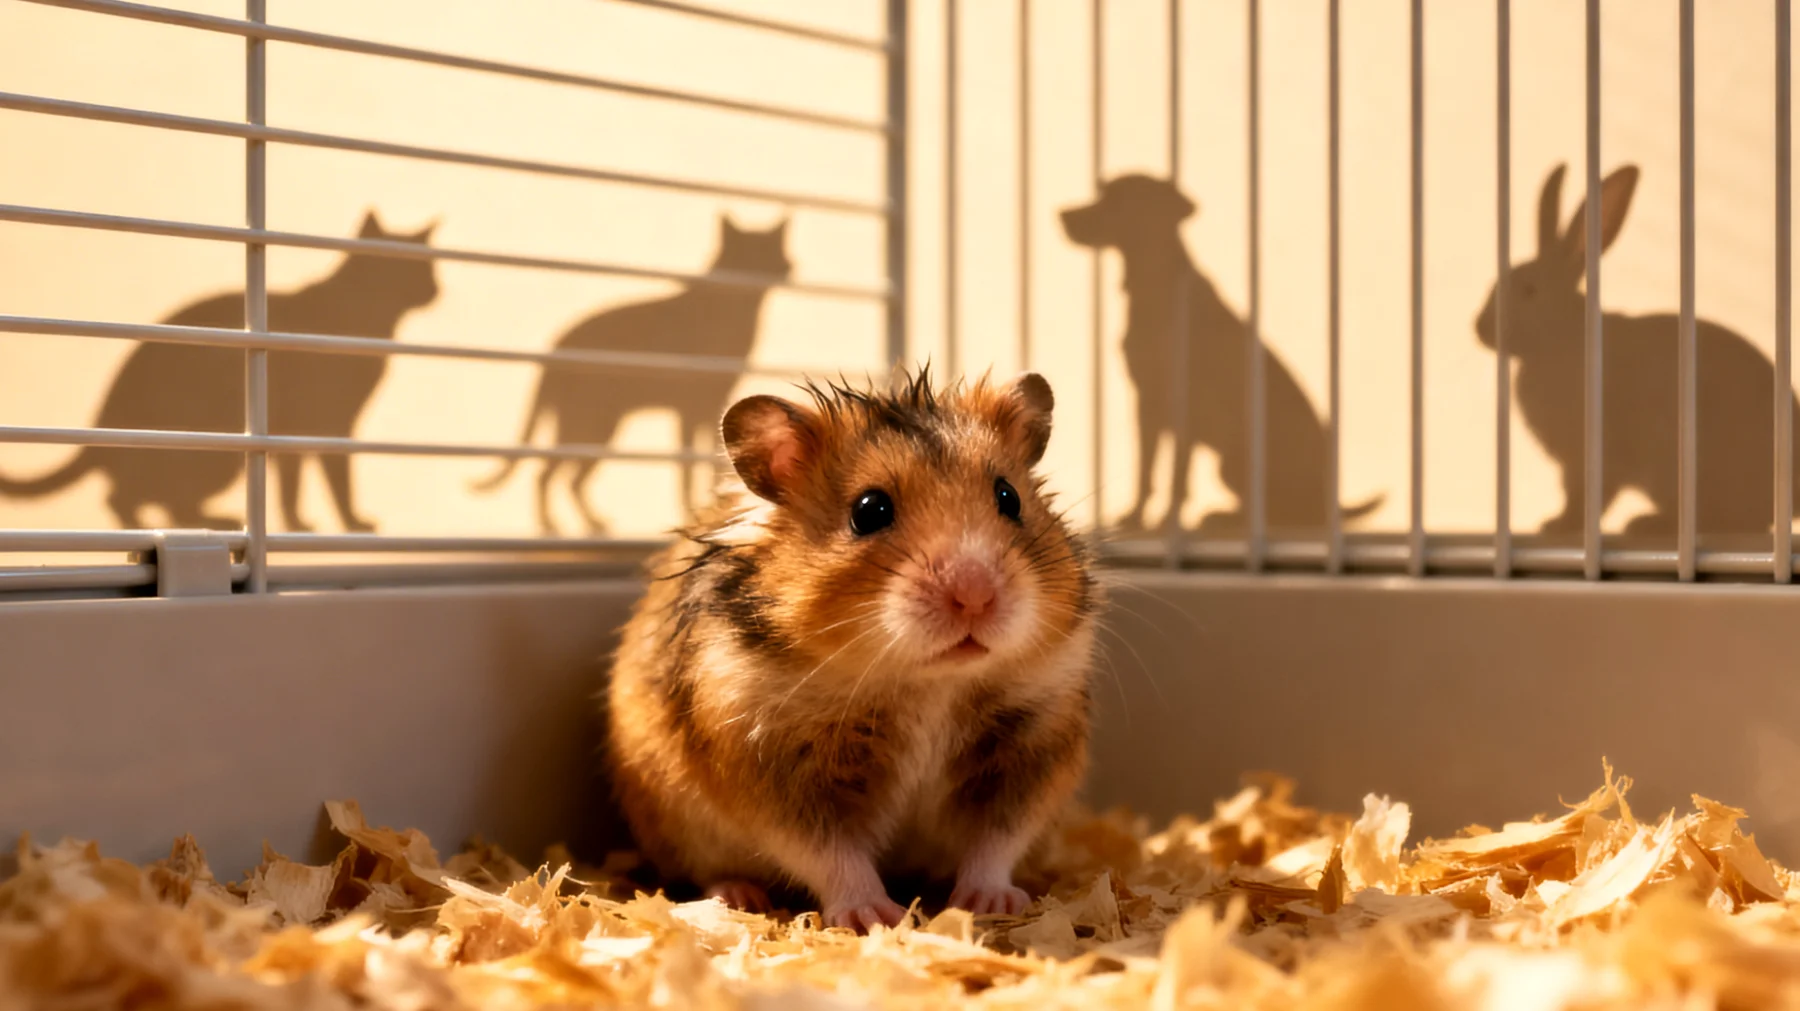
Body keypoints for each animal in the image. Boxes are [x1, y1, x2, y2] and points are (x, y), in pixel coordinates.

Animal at [603, 367, 1100, 931]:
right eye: (870, 510)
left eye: (1009, 497)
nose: (975, 594)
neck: (927, 683)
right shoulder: (775, 768)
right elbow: (831, 853)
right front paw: (874, 918)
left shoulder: (1029, 747)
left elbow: (995, 841)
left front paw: (990, 904)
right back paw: (740, 897)